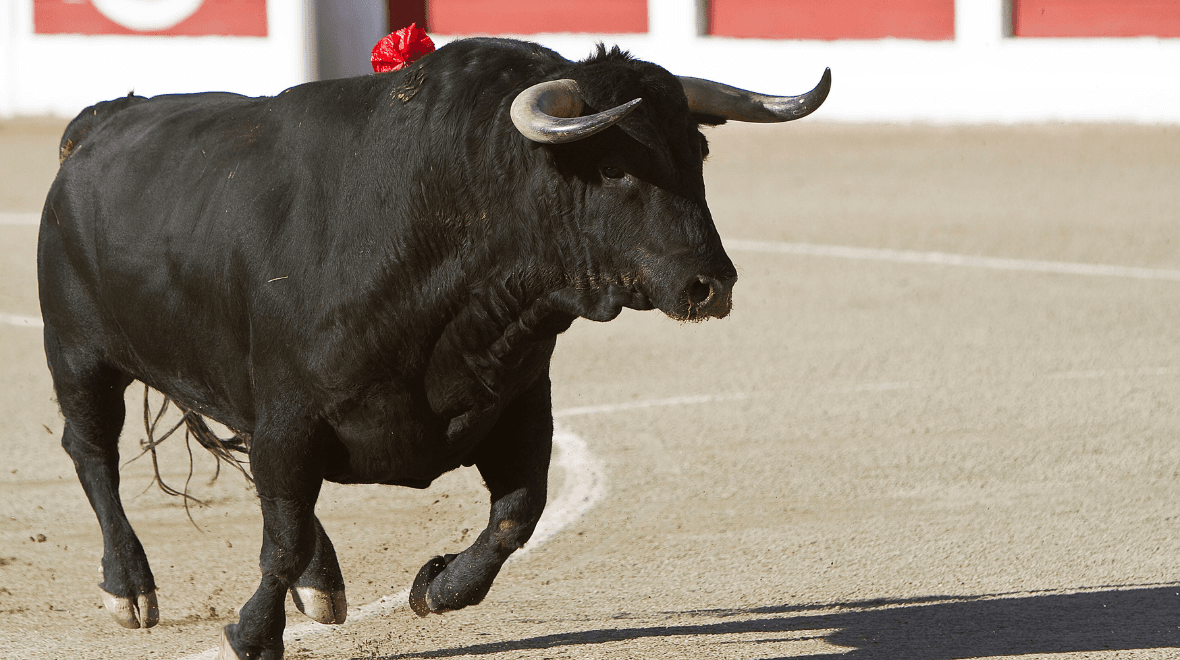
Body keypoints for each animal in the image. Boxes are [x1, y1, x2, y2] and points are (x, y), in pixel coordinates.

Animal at [38, 37, 829, 659]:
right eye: (612, 166)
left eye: (697, 152)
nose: (710, 285)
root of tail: (101, 120)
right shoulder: (290, 417)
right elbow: (280, 537)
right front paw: (251, 634)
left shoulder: (519, 403)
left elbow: (515, 515)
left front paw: (434, 588)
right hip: (78, 355)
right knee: (94, 455)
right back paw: (130, 589)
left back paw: (321, 587)